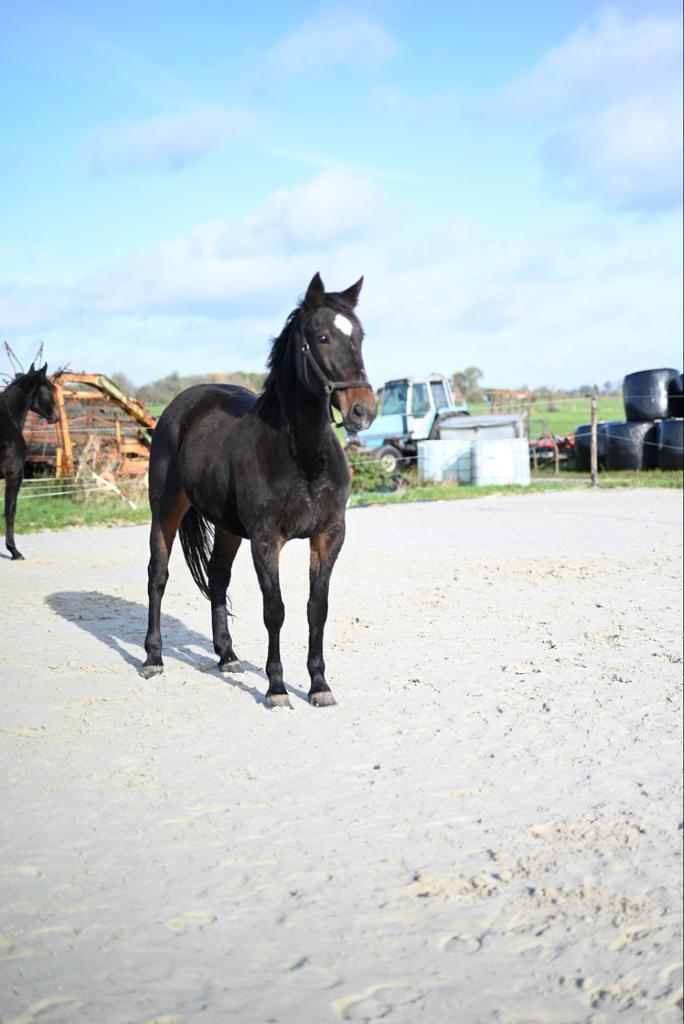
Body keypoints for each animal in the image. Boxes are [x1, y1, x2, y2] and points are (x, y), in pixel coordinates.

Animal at [141, 272, 377, 707]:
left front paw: (319, 685)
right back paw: (153, 658)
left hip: (228, 528)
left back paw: (228, 655)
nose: (363, 410)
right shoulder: (267, 541)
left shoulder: (328, 535)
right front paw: (277, 688)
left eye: (359, 336)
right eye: (322, 337)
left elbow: (316, 609)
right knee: (157, 576)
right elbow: (275, 610)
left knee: (217, 578)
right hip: (165, 510)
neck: (302, 456)